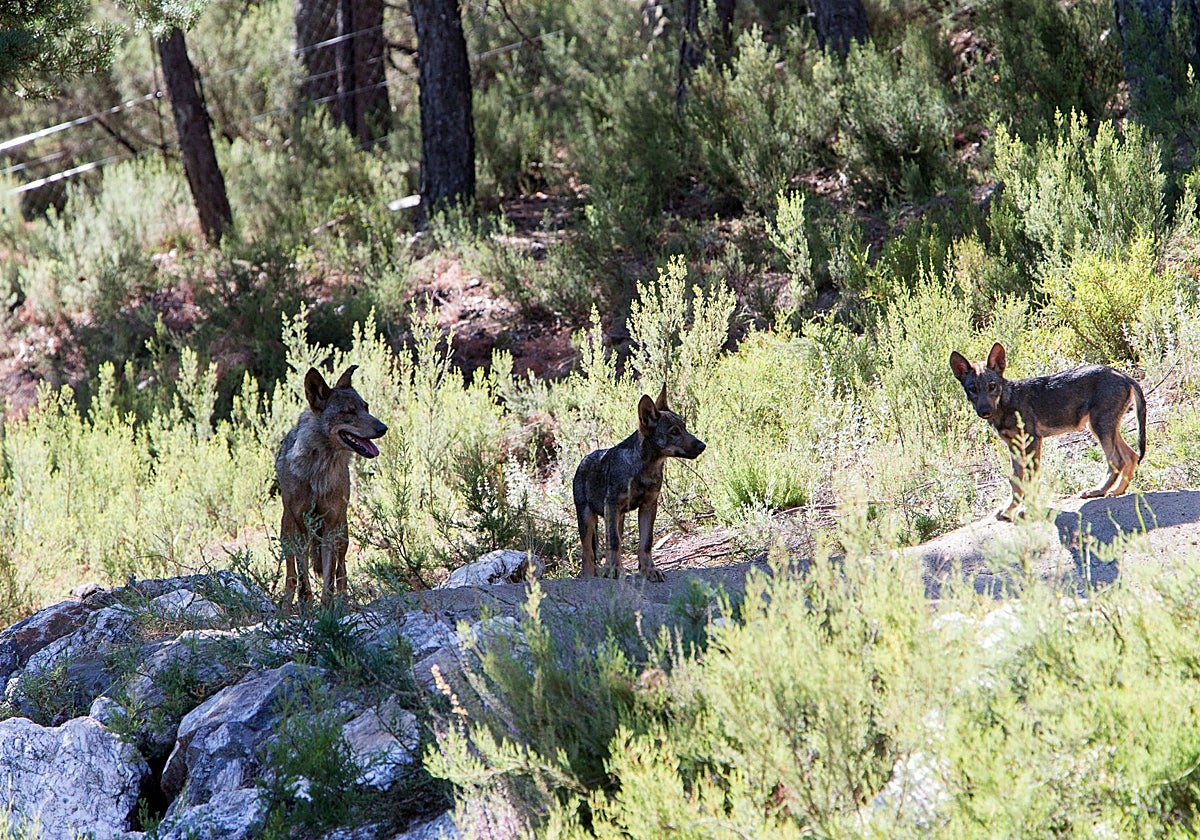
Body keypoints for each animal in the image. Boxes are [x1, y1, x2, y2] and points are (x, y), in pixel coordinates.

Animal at [276, 365, 387, 605]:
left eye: (366, 407)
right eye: (348, 412)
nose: (383, 428)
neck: (319, 471)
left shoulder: (329, 529)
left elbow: (329, 579)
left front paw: (328, 608)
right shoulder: (301, 527)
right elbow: (303, 579)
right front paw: (306, 605)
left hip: (342, 532)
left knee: (341, 572)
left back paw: (343, 601)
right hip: (287, 532)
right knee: (291, 575)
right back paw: (287, 604)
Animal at [573, 386, 706, 582]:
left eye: (685, 428)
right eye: (674, 432)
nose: (702, 446)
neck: (644, 468)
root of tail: (583, 461)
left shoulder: (648, 506)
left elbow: (645, 542)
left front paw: (649, 570)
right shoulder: (612, 505)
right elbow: (613, 542)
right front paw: (613, 570)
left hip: (618, 518)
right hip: (588, 518)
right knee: (588, 552)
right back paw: (591, 575)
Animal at [950, 342, 1146, 521]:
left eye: (992, 386)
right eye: (972, 389)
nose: (985, 412)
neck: (1006, 403)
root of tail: (1122, 374)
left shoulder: (1032, 441)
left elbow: (1031, 480)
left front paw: (1026, 510)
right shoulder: (1014, 446)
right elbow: (1016, 480)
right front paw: (1009, 509)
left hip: (1100, 427)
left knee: (1117, 460)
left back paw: (1098, 490)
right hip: (1103, 427)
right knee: (1131, 455)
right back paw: (1118, 490)